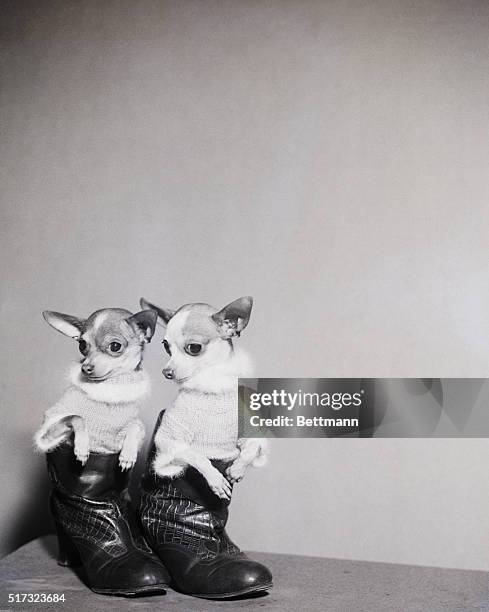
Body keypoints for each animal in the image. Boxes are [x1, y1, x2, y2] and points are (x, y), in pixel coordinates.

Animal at [34, 308, 156, 470]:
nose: (85, 368)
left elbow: (134, 427)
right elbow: (76, 417)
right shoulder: (52, 424)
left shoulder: (132, 425)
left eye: (115, 346)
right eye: (82, 344)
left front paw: (129, 453)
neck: (107, 390)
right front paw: (82, 447)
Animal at [139, 294, 266, 500]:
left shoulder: (251, 434)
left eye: (194, 348)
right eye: (166, 347)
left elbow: (251, 449)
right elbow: (197, 455)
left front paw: (237, 470)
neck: (211, 388)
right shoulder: (168, 440)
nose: (166, 372)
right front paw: (216, 480)